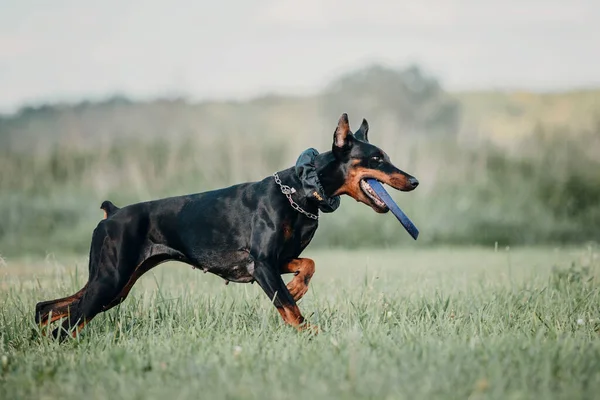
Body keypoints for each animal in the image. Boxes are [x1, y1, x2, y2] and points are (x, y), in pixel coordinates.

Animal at [35, 114, 420, 340]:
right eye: (376, 158)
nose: (414, 181)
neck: (301, 191)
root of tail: (112, 214)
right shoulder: (263, 264)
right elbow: (289, 308)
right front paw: (310, 329)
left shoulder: (273, 261)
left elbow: (309, 266)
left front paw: (297, 287)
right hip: (111, 278)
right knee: (66, 325)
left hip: (114, 286)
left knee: (47, 308)